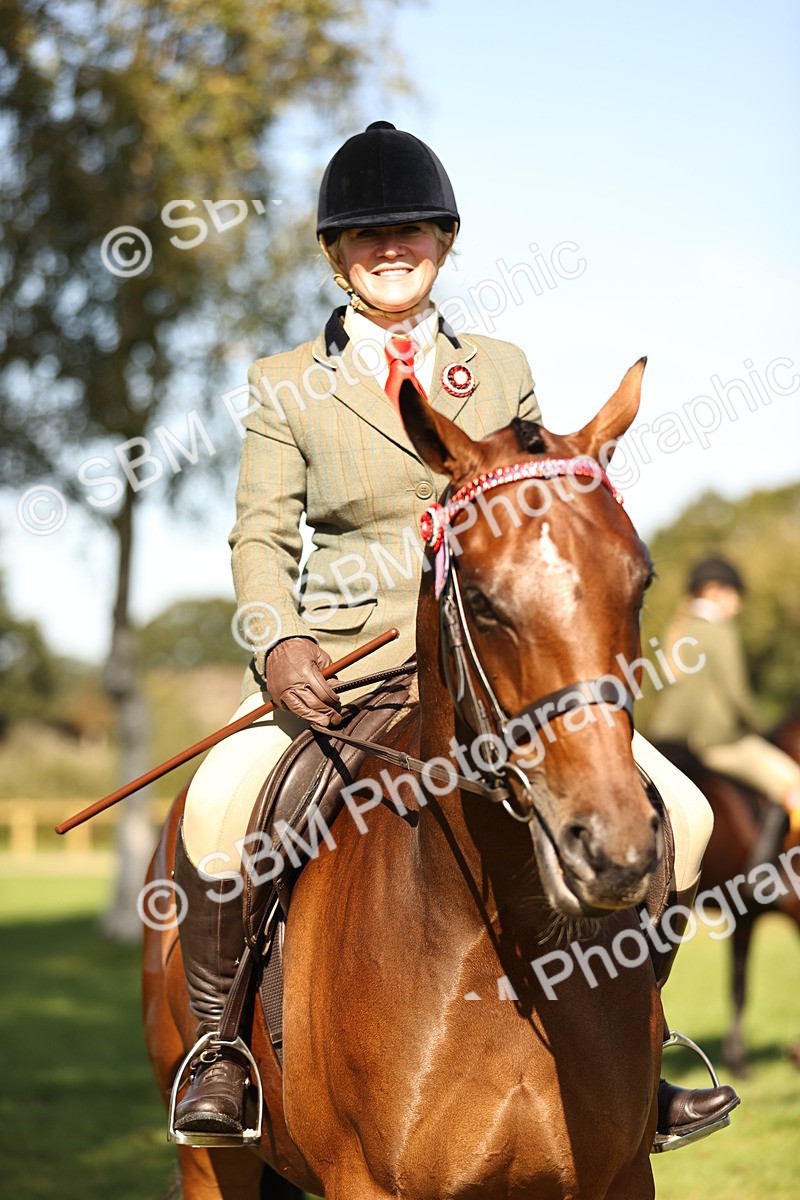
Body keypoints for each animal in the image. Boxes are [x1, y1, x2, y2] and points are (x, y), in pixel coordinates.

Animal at [143, 359, 669, 1200]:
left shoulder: (619, 1178)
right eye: (481, 601)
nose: (613, 847)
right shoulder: (363, 1182)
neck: (501, 951)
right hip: (209, 1158)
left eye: (640, 582)